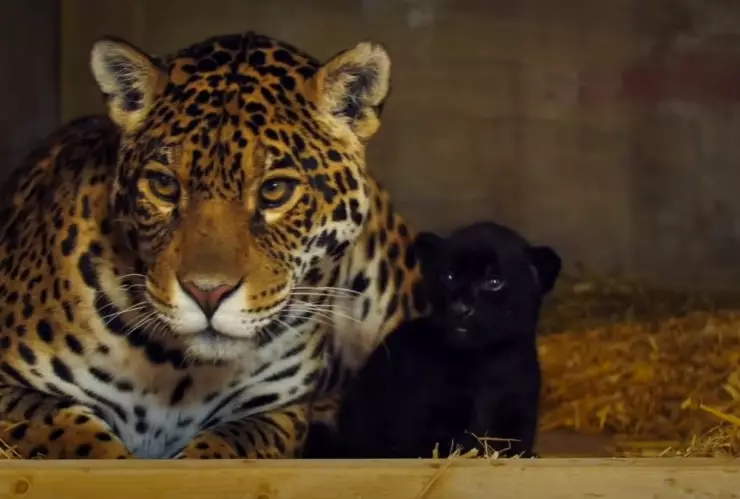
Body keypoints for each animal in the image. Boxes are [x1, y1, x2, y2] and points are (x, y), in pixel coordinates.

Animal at [0, 30, 425, 459]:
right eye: (164, 186)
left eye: (274, 190)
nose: (207, 293)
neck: (177, 372)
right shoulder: (13, 389)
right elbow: (80, 441)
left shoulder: (277, 412)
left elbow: (225, 448)